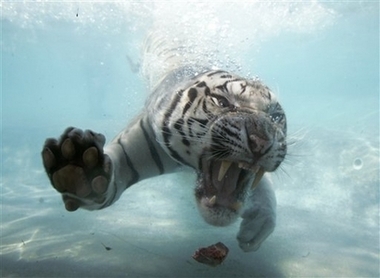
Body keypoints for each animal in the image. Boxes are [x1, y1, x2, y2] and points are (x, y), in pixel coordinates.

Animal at [40, 32, 286, 252]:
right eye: (222, 102)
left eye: (275, 116)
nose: (261, 142)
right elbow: (105, 177)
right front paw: (77, 171)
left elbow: (263, 188)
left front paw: (257, 226)